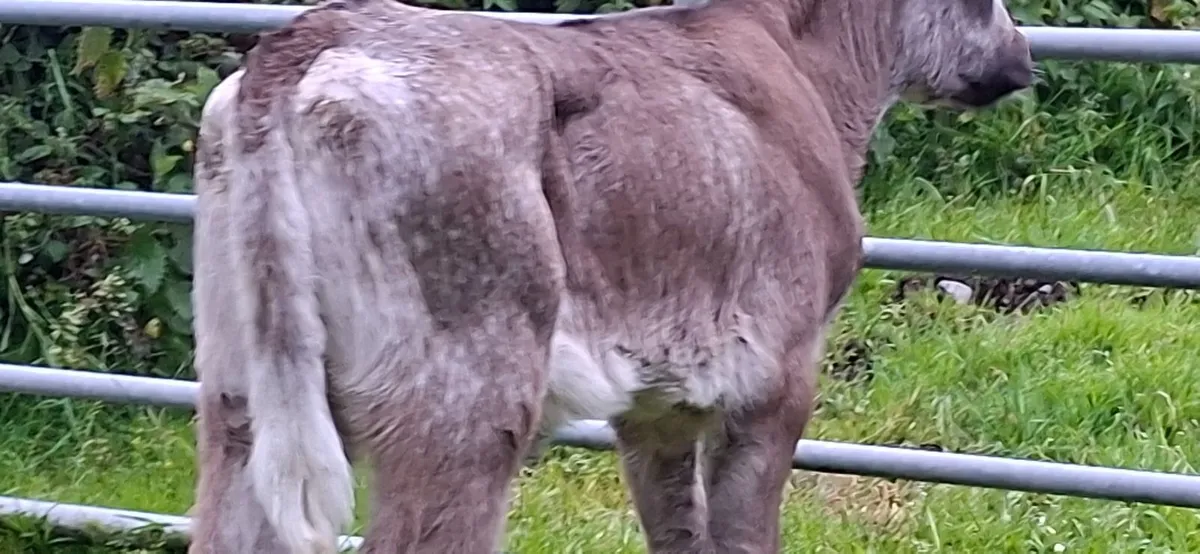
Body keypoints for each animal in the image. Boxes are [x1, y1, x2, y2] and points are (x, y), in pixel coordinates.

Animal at [187, 0, 1033, 551]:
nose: (1024, 56)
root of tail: (320, 29)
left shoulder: (662, 400)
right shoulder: (780, 376)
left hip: (239, 394)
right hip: (461, 402)